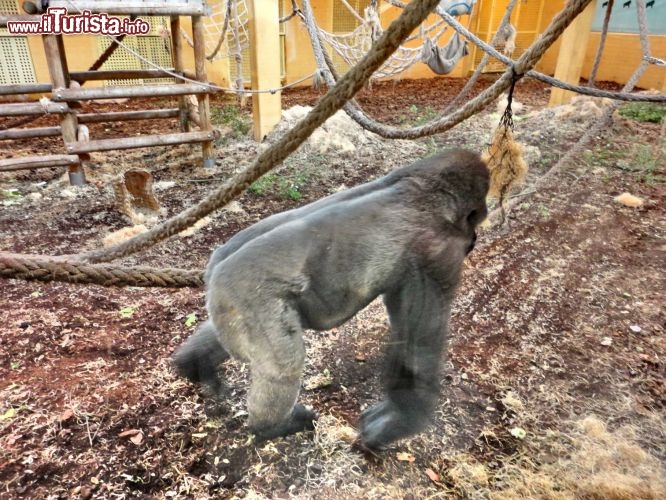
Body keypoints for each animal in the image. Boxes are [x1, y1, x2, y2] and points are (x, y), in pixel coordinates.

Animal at [174, 148, 490, 450]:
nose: (474, 239)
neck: (428, 190)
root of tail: (214, 268)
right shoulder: (437, 253)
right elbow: (417, 351)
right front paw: (400, 419)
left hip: (225, 305)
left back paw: (195, 365)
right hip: (248, 298)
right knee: (284, 366)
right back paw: (274, 427)